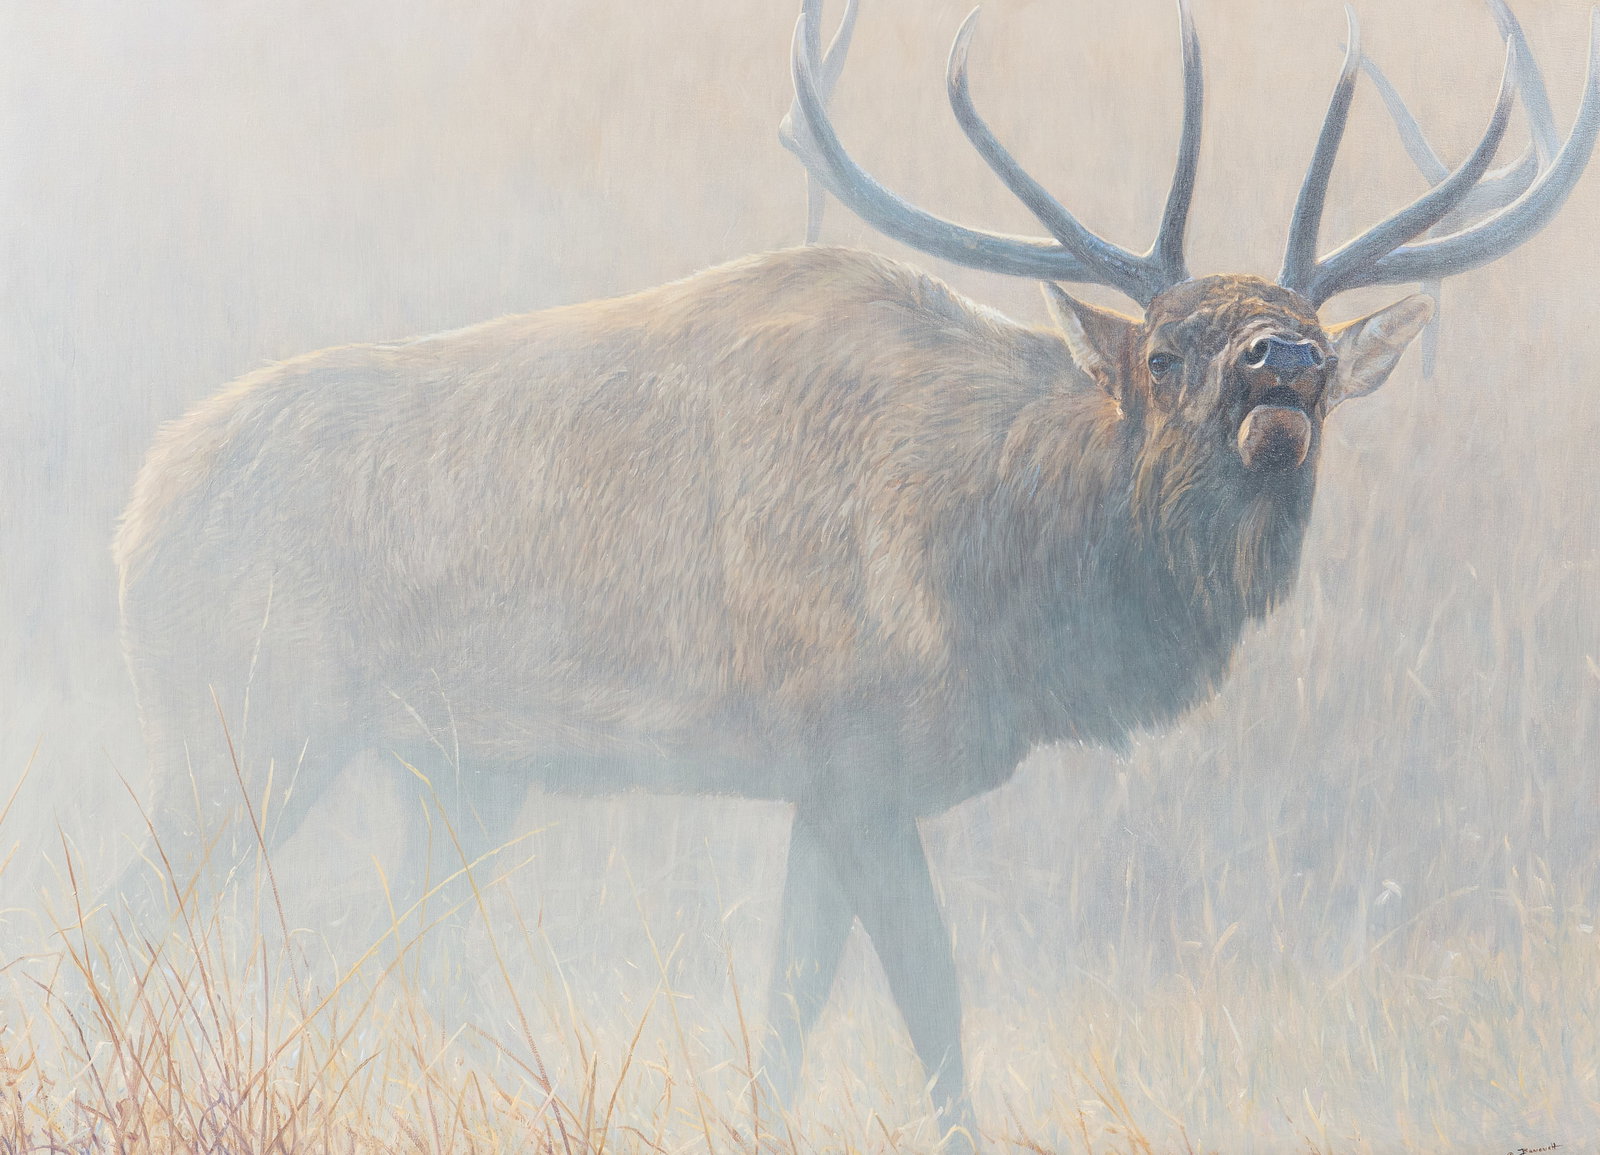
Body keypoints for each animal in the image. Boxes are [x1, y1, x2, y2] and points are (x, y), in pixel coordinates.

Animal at [111, 0, 1598, 1142]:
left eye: (1329, 356)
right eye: (1167, 347)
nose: (1283, 364)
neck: (1010, 580)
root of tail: (131, 520)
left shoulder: (820, 791)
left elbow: (790, 1000)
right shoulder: (859, 762)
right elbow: (928, 1002)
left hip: (453, 768)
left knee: (420, 957)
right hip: (250, 718)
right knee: (135, 921)